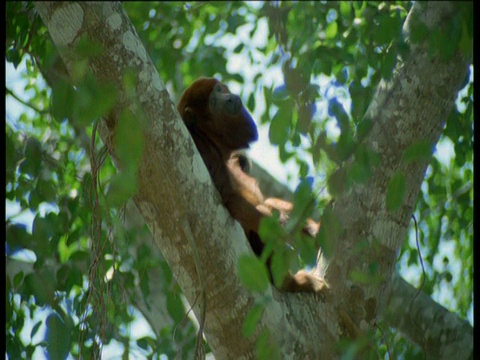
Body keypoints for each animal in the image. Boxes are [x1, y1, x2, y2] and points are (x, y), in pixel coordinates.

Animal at [177, 77, 326, 294]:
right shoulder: (203, 153)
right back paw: (289, 283)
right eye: (213, 102)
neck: (215, 142)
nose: (230, 98)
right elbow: (233, 203)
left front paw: (314, 230)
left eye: (219, 89)